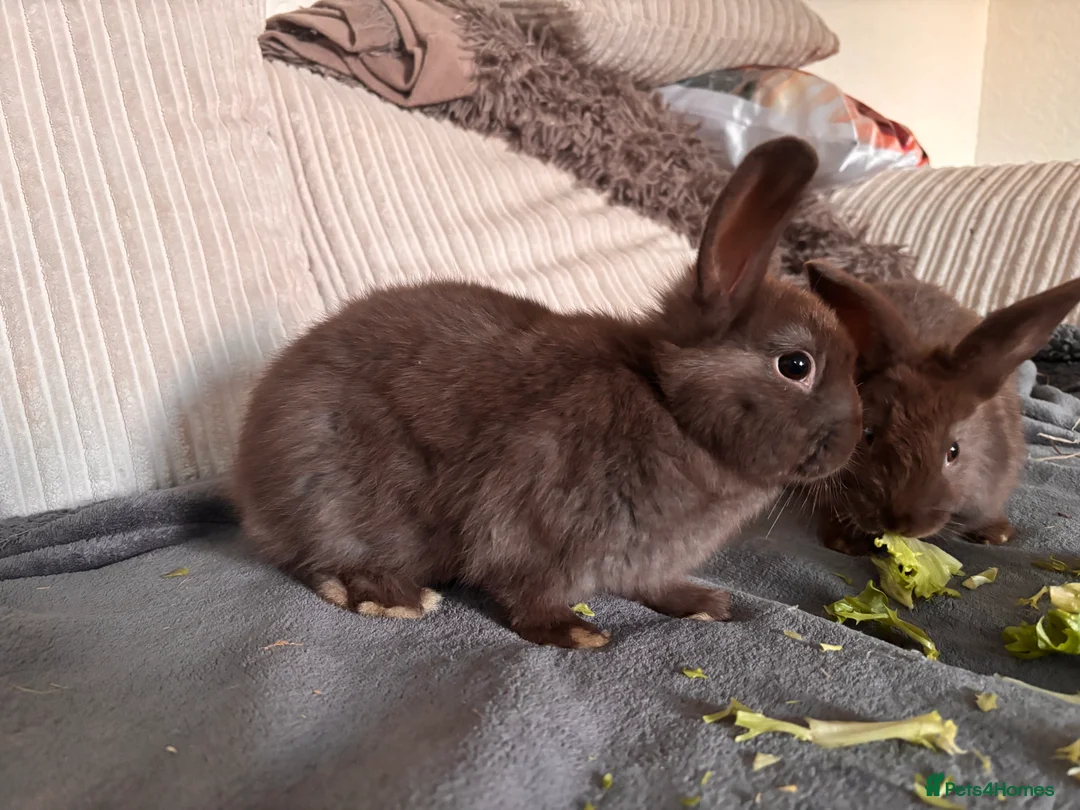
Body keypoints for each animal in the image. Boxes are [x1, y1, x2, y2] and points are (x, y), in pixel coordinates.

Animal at [231, 137, 870, 650]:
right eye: (795, 365)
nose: (853, 443)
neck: (669, 405)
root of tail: (249, 473)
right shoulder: (532, 521)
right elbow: (528, 591)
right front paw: (576, 633)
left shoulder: (644, 558)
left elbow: (653, 586)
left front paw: (704, 605)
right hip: (337, 491)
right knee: (321, 555)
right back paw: (391, 596)